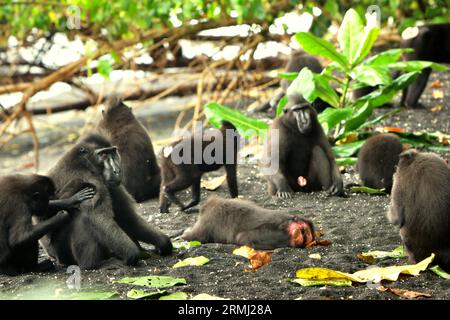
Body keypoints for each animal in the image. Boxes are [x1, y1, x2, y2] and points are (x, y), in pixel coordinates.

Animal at [39, 133, 172, 270]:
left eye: (113, 153)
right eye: (103, 155)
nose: (117, 171)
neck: (85, 163)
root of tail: (54, 256)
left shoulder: (110, 185)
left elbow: (128, 218)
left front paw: (163, 243)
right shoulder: (89, 180)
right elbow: (99, 219)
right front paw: (132, 254)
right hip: (63, 253)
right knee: (83, 218)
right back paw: (92, 264)